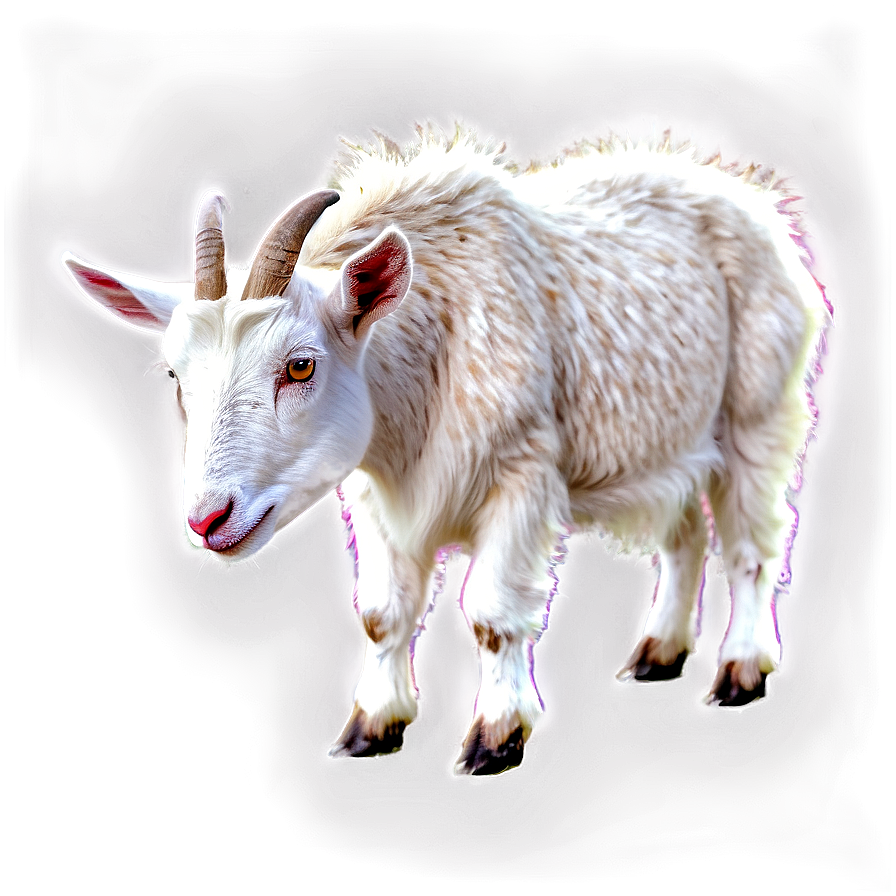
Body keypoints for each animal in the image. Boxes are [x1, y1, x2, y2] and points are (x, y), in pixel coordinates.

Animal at [61, 123, 827, 776]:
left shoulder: (522, 475)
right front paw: (372, 728)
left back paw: (742, 673)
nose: (207, 520)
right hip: (670, 444)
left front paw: (495, 739)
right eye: (174, 374)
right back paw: (659, 653)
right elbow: (380, 614)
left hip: (756, 411)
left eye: (300, 366)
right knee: (685, 534)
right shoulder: (376, 492)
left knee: (751, 545)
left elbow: (491, 616)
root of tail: (754, 204)